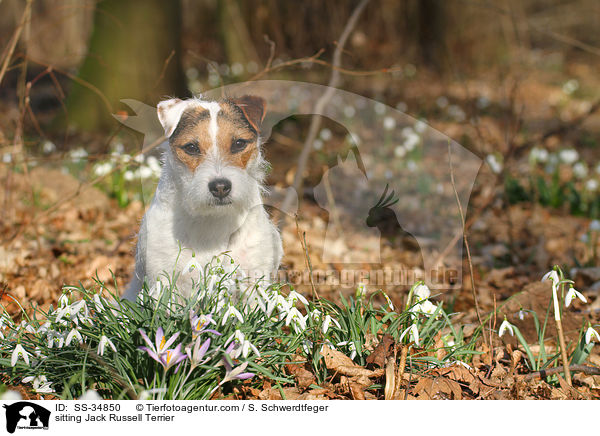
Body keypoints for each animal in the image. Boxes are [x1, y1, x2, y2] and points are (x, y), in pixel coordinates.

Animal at [122, 95, 284, 300]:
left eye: (239, 143)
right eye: (191, 147)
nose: (220, 187)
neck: (212, 221)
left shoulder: (254, 280)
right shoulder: (163, 281)